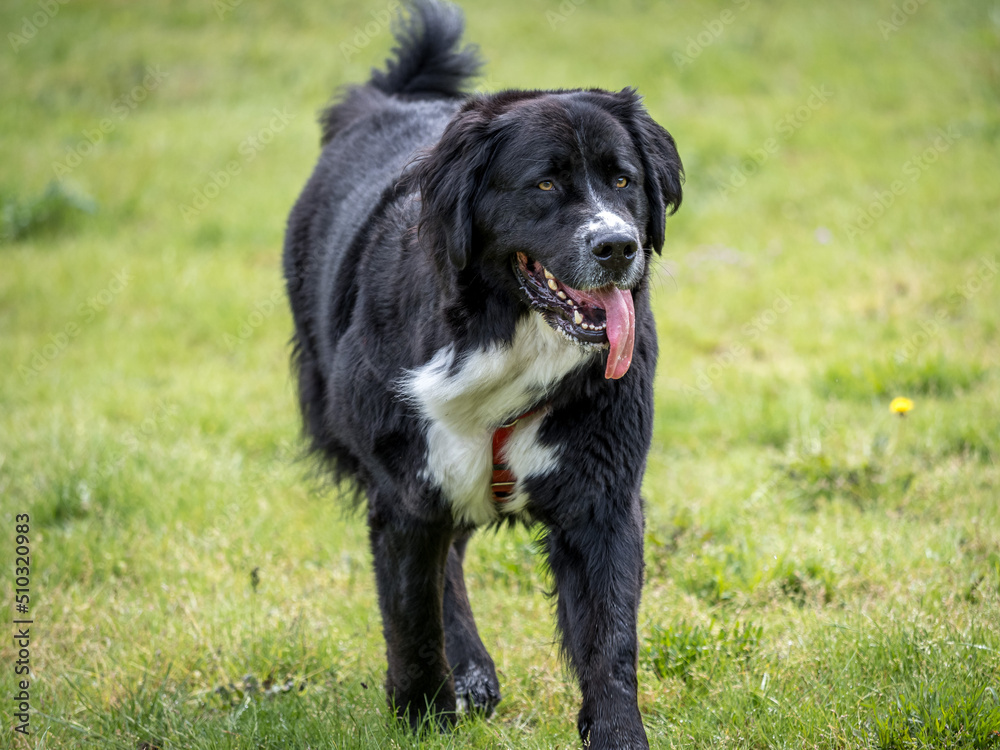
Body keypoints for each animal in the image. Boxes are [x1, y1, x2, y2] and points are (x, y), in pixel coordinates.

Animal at [286, 2, 684, 748]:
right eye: (545, 183)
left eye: (623, 180)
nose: (616, 246)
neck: (504, 334)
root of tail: (387, 100)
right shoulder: (405, 485)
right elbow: (412, 615)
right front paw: (421, 715)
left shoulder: (604, 492)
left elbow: (610, 636)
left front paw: (619, 734)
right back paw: (467, 675)